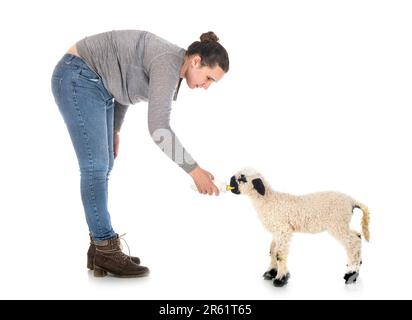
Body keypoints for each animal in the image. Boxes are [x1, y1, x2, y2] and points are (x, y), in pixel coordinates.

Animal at [229, 168, 370, 288]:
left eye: (242, 178)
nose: (230, 182)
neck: (269, 200)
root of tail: (351, 201)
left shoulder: (283, 230)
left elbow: (280, 254)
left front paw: (280, 279)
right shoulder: (276, 231)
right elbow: (272, 251)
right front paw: (271, 272)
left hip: (337, 224)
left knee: (352, 243)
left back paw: (351, 274)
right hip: (343, 224)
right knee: (358, 236)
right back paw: (357, 266)